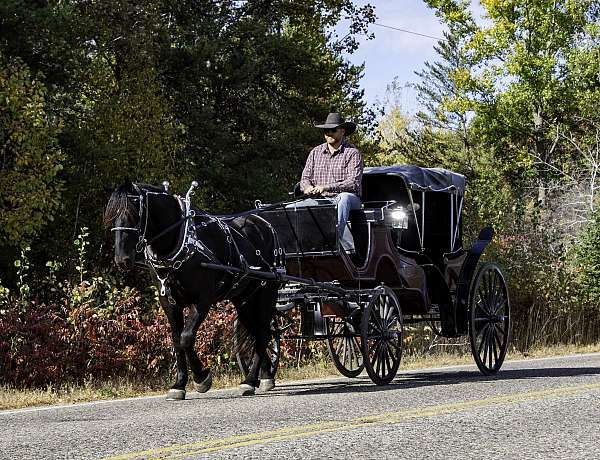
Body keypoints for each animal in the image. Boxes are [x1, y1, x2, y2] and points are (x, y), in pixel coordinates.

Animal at [104, 182, 282, 398]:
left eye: (133, 213)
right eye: (111, 216)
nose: (122, 259)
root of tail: (264, 225)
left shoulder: (203, 300)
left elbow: (186, 337)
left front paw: (201, 378)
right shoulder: (169, 303)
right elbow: (176, 341)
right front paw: (179, 384)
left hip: (267, 292)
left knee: (263, 333)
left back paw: (249, 380)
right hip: (244, 299)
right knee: (256, 332)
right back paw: (264, 376)